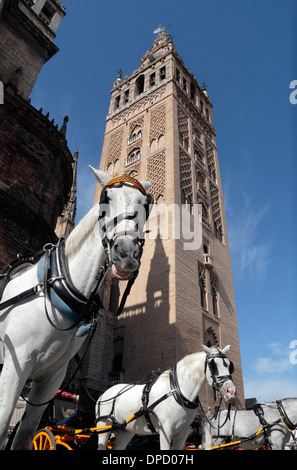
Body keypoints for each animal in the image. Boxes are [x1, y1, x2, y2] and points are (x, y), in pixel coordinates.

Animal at [0, 168, 151, 448]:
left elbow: (25, 435)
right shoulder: (15, 369)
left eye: (145, 204)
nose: (126, 253)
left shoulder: (50, 380)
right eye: (105, 199)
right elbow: (4, 425)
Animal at [95, 344, 236, 450]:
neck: (176, 392)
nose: (231, 391)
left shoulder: (182, 434)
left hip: (125, 431)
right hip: (104, 426)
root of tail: (103, 395)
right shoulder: (165, 431)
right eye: (213, 365)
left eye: (230, 366)